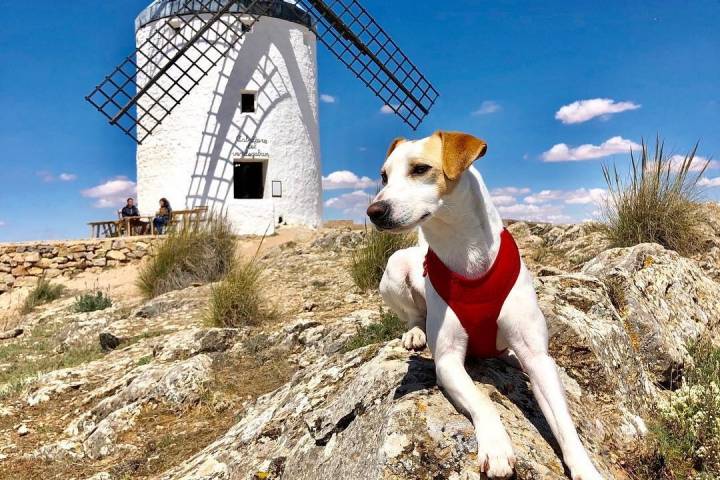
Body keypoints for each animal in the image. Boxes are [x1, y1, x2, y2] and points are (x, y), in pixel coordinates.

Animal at [368, 131, 604, 480]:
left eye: (420, 169)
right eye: (384, 176)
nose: (374, 210)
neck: (467, 256)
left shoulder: (539, 360)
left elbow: (564, 425)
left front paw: (585, 468)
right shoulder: (448, 361)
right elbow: (482, 400)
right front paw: (496, 446)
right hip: (394, 269)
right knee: (414, 314)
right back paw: (415, 333)